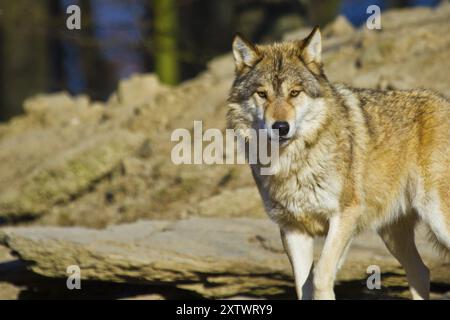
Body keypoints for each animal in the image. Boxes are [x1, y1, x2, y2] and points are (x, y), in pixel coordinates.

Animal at [227, 26, 450, 300]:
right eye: (262, 94)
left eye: (294, 92)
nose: (280, 127)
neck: (294, 164)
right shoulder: (293, 230)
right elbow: (303, 285)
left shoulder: (344, 216)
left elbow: (320, 275)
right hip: (391, 233)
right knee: (421, 271)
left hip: (436, 219)